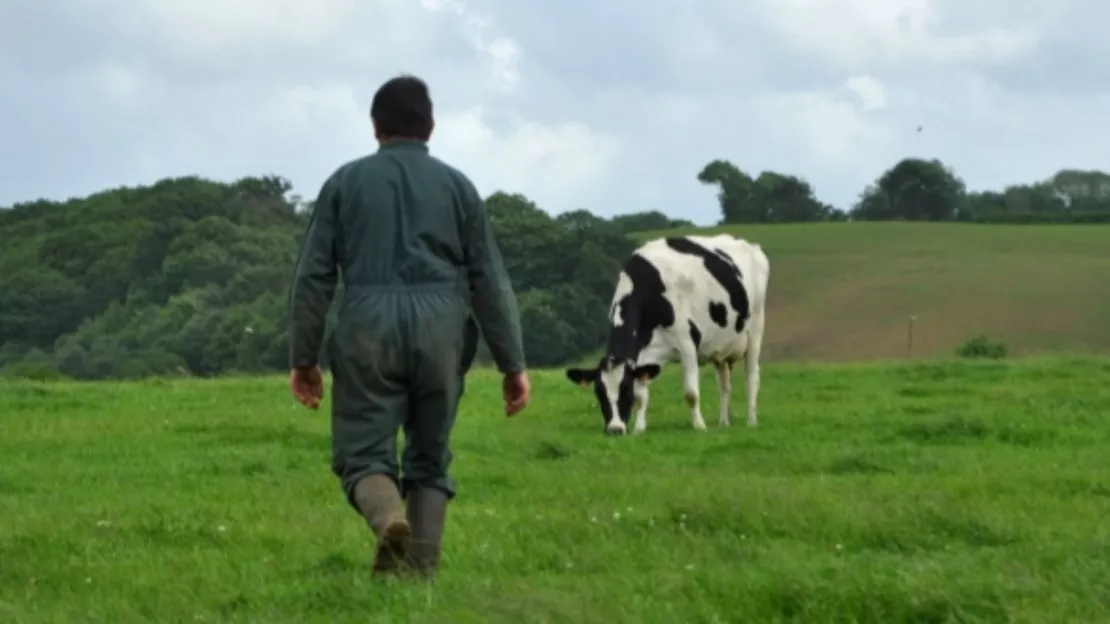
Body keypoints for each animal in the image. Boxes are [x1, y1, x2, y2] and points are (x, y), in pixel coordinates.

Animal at [563, 232, 772, 433]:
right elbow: (642, 395)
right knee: (724, 385)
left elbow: (691, 393)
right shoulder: (643, 356)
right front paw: (639, 428)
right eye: (599, 393)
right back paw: (724, 422)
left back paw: (751, 421)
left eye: (625, 391)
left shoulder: (687, 343)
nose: (615, 429)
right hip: (722, 347)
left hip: (756, 328)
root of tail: (748, 244)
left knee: (752, 377)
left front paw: (700, 426)